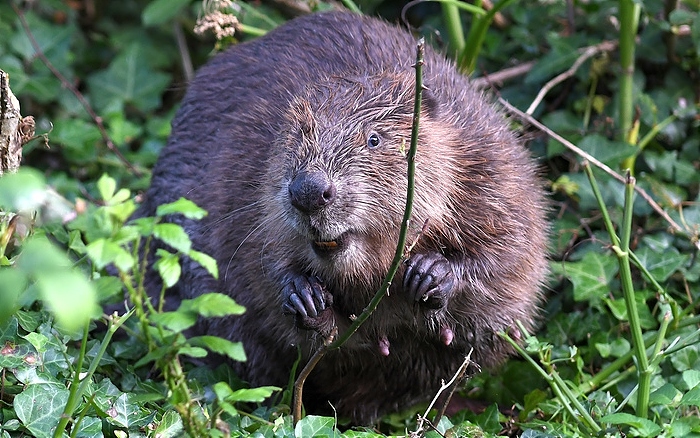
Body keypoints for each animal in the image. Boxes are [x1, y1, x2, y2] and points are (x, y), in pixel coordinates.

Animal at [137, 11, 548, 424]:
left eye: (374, 139)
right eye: (295, 136)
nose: (308, 191)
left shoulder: (487, 164)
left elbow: (511, 251)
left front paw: (431, 273)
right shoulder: (250, 193)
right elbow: (267, 270)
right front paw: (305, 297)